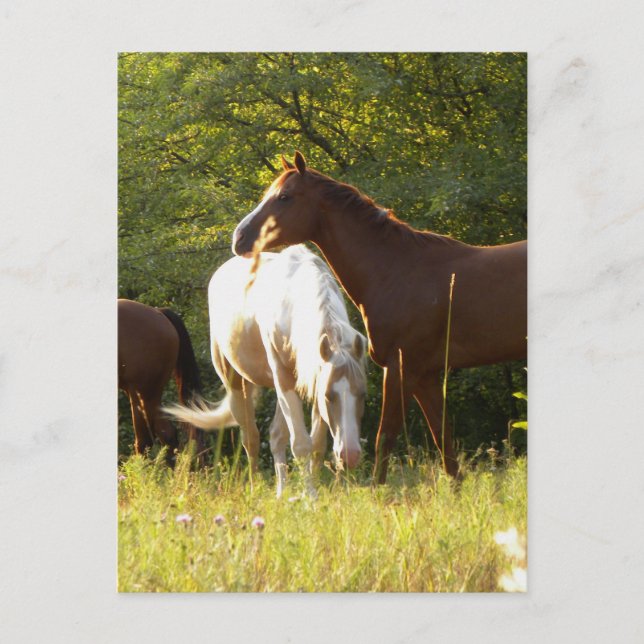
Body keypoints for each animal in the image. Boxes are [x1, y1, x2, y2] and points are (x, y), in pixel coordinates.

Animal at [164, 245, 367, 498]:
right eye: (329, 396)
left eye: (362, 394)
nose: (350, 455)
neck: (293, 305)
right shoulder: (290, 381)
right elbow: (301, 443)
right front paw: (310, 497)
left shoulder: (313, 377)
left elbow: (316, 444)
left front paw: (310, 491)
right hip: (235, 383)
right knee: (250, 437)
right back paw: (255, 487)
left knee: (275, 436)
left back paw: (282, 492)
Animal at [231, 151, 527, 483]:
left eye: (284, 197)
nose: (239, 237)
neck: (397, 270)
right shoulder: (424, 375)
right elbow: (443, 441)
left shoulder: (401, 368)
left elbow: (385, 437)